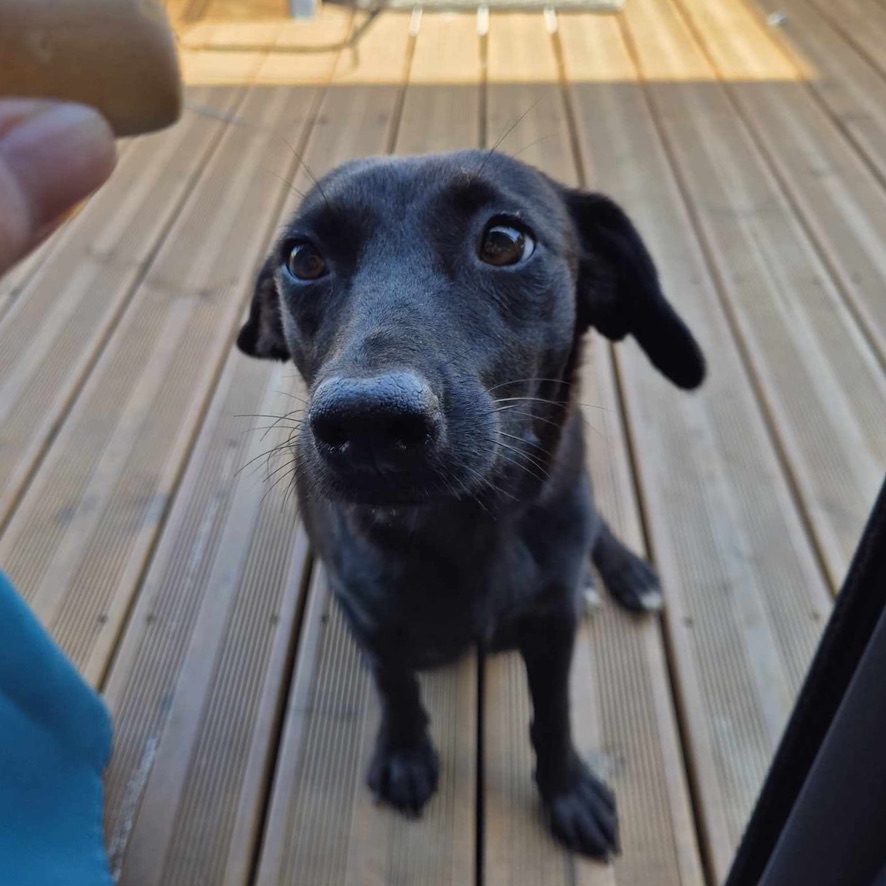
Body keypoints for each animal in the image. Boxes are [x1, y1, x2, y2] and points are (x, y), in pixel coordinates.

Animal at [238, 151, 708, 860]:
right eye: (303, 258)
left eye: (505, 241)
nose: (368, 424)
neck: (464, 527)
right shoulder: (373, 621)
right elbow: (397, 689)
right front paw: (406, 756)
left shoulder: (553, 630)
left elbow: (553, 717)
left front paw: (567, 792)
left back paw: (622, 571)